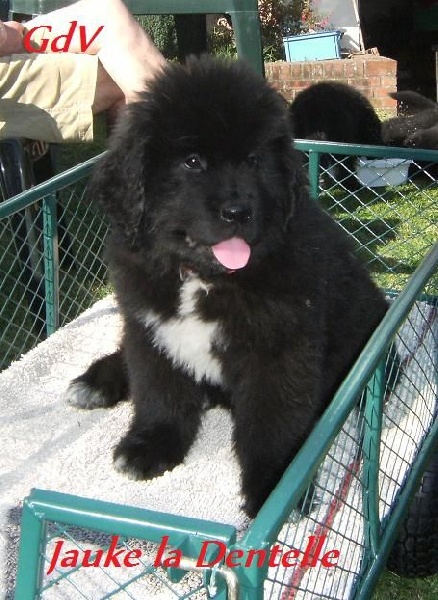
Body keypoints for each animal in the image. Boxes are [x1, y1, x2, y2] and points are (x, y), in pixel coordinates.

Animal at [65, 57, 390, 518]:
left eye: (254, 160)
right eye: (192, 162)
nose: (239, 212)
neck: (202, 278)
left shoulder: (279, 350)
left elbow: (271, 423)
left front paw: (275, 485)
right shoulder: (151, 329)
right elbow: (158, 392)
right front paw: (150, 446)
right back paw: (95, 381)